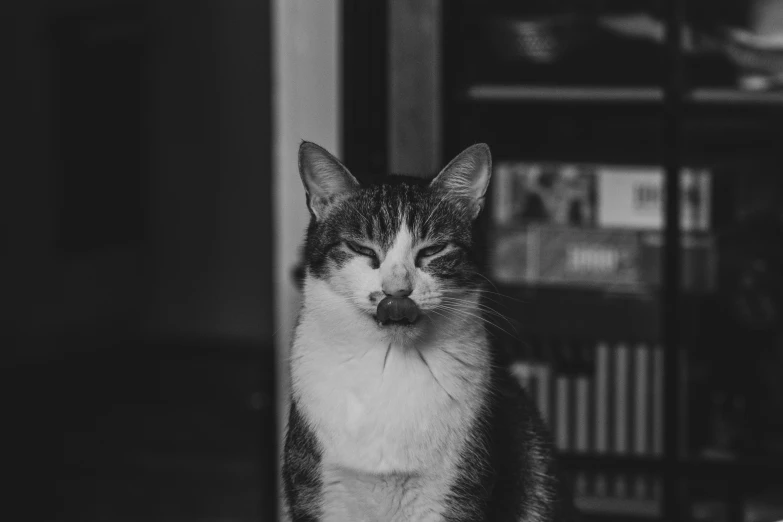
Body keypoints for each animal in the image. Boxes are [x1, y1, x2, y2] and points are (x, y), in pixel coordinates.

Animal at [284, 140, 580, 516]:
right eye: (361, 248)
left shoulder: (461, 486)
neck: (389, 364)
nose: (397, 292)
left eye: (434, 250)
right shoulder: (315, 488)